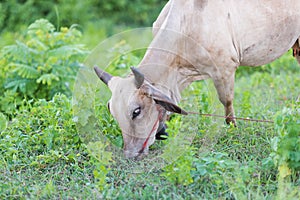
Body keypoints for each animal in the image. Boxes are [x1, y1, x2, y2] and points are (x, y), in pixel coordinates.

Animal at [94, 0, 300, 159]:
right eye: (113, 112)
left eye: (136, 111)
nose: (130, 154)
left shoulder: (224, 69)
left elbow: (227, 103)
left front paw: (233, 129)